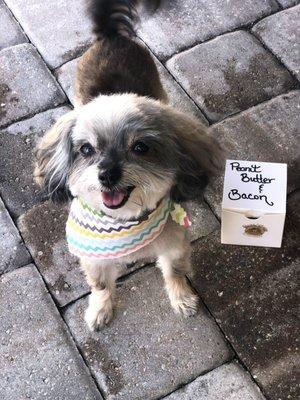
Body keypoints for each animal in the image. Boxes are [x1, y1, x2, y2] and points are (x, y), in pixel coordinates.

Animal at [34, 0, 224, 332]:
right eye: (86, 149)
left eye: (140, 147)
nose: (107, 174)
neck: (124, 222)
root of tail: (111, 34)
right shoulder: (93, 258)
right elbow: (100, 285)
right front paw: (100, 309)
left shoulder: (175, 243)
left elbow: (174, 272)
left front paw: (181, 299)